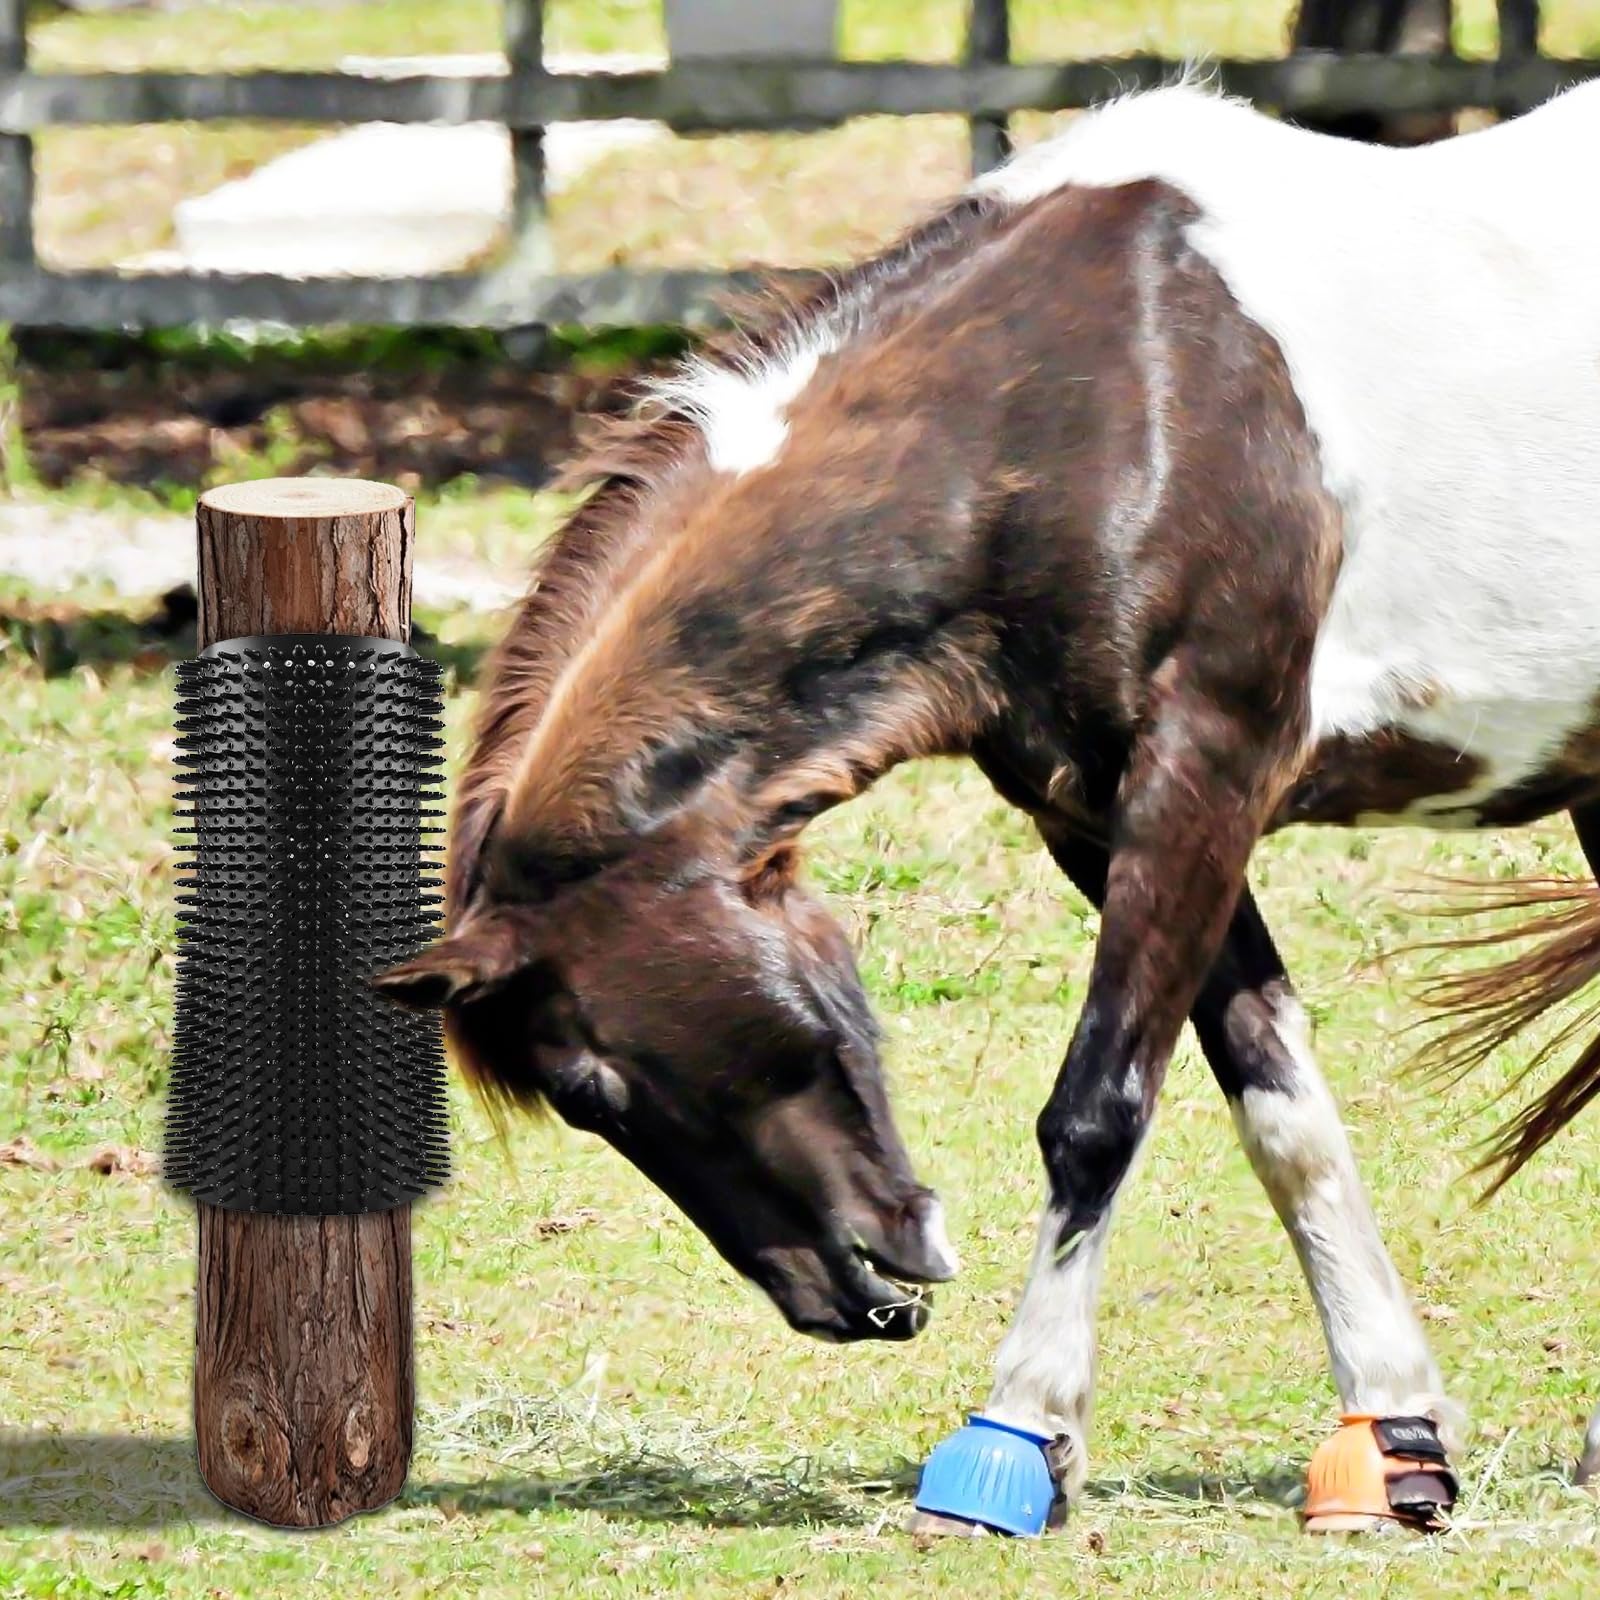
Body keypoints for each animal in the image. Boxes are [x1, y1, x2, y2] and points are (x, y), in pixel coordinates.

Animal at [377, 79, 1600, 1530]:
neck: (1109, 406)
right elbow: (1280, 1109)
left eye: (586, 1085)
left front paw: (1016, 1433)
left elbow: (1096, 1113)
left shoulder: (1205, 775)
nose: (844, 1294)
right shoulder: (1098, 819)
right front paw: (1394, 1433)